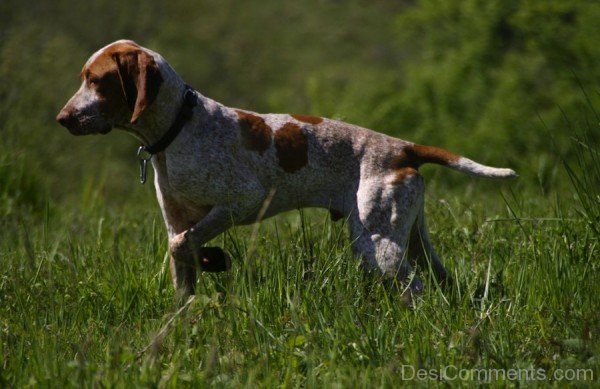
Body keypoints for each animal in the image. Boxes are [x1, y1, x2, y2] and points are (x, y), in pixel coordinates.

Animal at [57, 40, 516, 298]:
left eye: (97, 80)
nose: (63, 118)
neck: (179, 127)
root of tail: (403, 148)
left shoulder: (241, 202)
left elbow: (183, 245)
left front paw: (214, 258)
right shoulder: (178, 220)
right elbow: (181, 262)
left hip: (376, 243)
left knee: (415, 289)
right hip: (413, 240)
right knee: (440, 280)